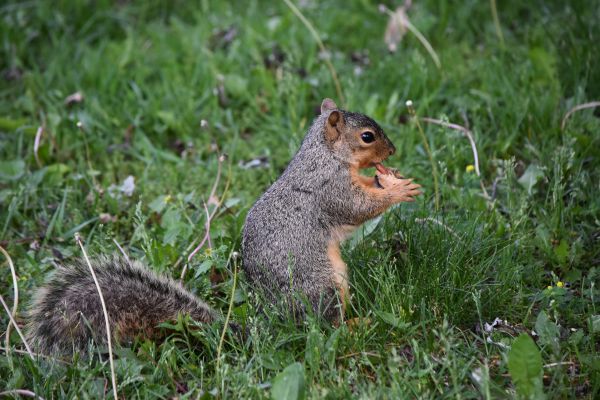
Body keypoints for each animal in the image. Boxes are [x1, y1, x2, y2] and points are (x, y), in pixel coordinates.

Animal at [243, 98, 422, 324]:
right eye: (367, 136)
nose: (392, 151)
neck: (328, 155)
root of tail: (275, 314)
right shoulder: (332, 187)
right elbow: (358, 207)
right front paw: (398, 190)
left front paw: (386, 177)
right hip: (324, 287)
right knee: (330, 325)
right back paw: (359, 323)